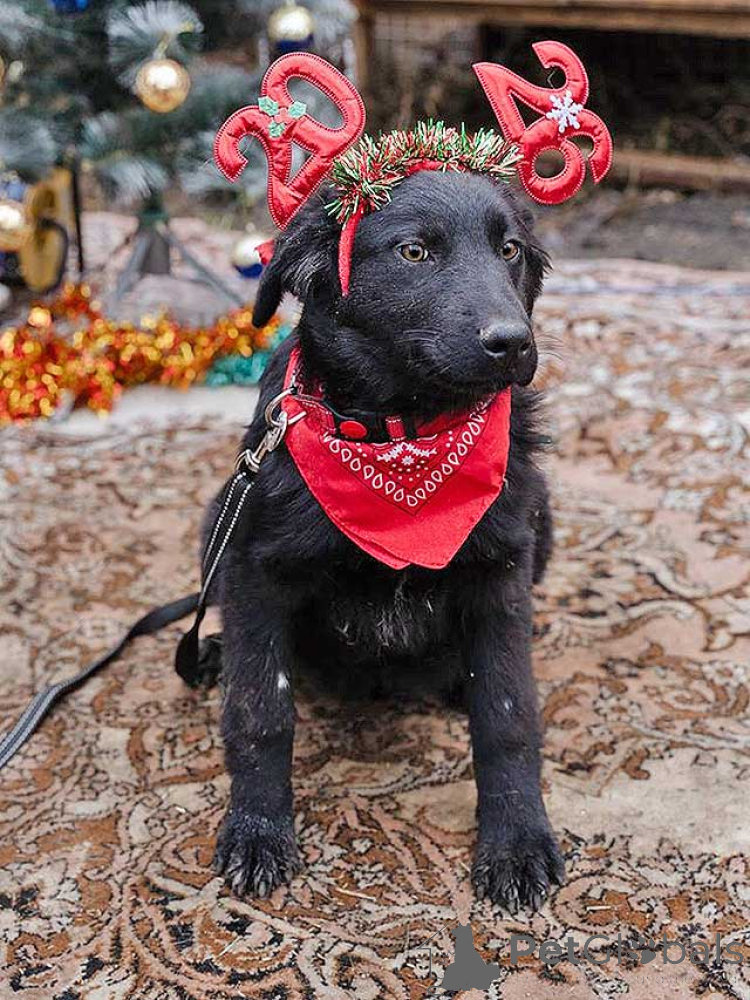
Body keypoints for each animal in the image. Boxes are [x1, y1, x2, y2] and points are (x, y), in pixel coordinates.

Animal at [208, 168, 564, 912]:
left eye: (510, 250)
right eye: (414, 253)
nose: (514, 342)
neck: (402, 434)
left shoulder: (503, 570)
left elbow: (508, 713)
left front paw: (517, 841)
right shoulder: (254, 571)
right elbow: (260, 707)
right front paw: (257, 830)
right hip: (216, 520)